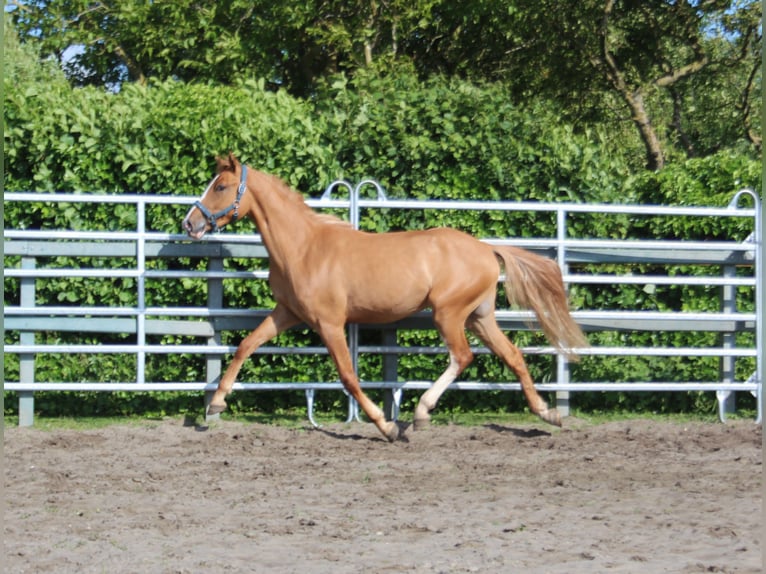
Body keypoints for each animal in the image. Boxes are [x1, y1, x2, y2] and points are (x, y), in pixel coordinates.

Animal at [183, 154, 587, 441]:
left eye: (221, 186)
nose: (190, 223)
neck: (303, 247)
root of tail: (487, 249)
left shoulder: (330, 323)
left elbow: (348, 375)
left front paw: (386, 426)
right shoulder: (287, 313)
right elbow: (246, 345)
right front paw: (216, 404)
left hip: (449, 314)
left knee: (463, 356)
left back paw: (420, 414)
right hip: (480, 316)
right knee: (513, 355)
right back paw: (548, 413)